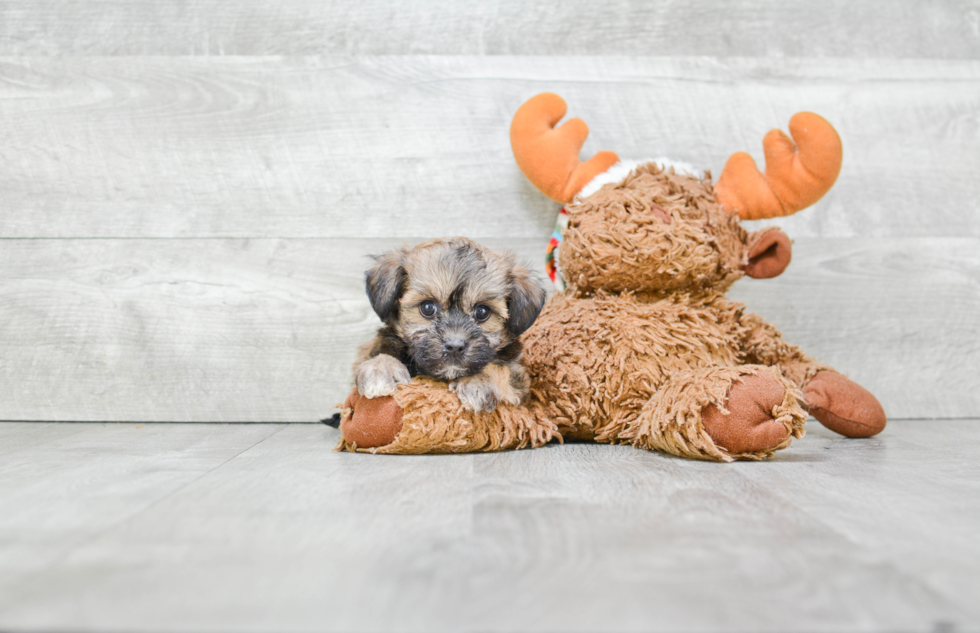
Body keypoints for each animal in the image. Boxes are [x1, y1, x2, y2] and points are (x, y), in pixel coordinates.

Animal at [354, 236, 552, 410]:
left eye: (482, 312)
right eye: (427, 308)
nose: (455, 346)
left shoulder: (518, 376)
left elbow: (500, 369)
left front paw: (478, 381)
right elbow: (380, 350)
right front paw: (380, 367)